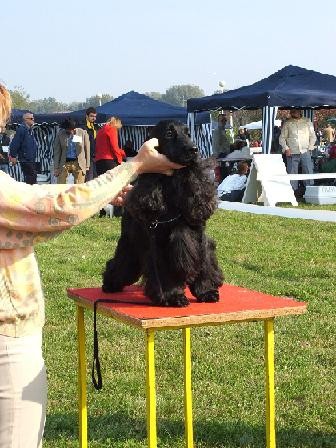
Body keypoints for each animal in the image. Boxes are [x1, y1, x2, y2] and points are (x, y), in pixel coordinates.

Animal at [102, 121, 223, 306]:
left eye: (188, 133)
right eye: (169, 134)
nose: (194, 149)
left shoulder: (199, 236)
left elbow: (203, 264)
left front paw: (207, 291)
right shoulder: (157, 244)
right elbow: (164, 272)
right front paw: (173, 296)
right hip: (130, 243)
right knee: (119, 264)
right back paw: (109, 284)